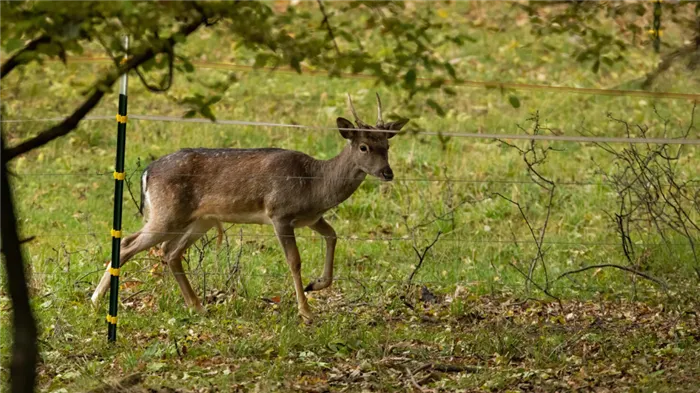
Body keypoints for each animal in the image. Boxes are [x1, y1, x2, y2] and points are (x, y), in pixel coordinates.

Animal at [93, 92, 410, 322]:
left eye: (387, 145)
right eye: (364, 147)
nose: (387, 173)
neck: (315, 184)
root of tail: (147, 172)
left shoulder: (311, 217)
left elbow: (333, 236)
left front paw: (316, 284)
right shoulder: (279, 212)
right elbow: (294, 261)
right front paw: (306, 311)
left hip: (199, 219)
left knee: (169, 252)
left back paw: (197, 306)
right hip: (166, 212)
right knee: (129, 244)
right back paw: (96, 301)